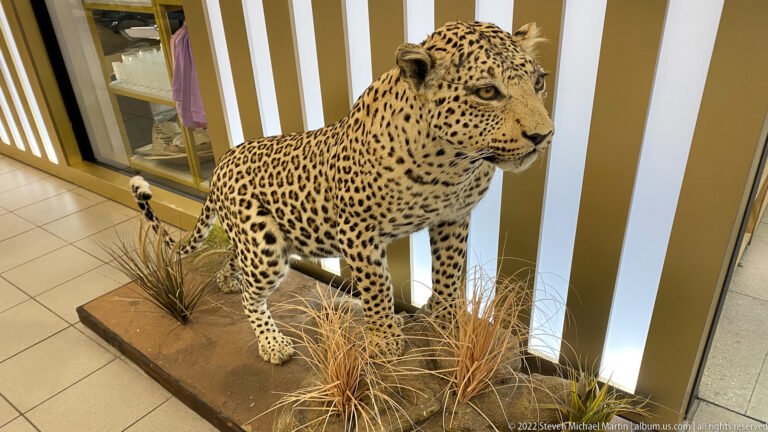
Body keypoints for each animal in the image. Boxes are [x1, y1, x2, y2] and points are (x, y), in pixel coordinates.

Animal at [129, 20, 554, 365]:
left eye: (538, 82)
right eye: (487, 92)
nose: (543, 135)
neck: (451, 164)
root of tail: (222, 162)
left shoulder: (453, 218)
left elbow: (450, 273)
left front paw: (448, 322)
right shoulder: (358, 234)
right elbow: (377, 288)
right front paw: (385, 338)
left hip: (251, 243)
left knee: (236, 260)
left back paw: (227, 280)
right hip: (265, 247)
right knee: (253, 295)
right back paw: (272, 343)